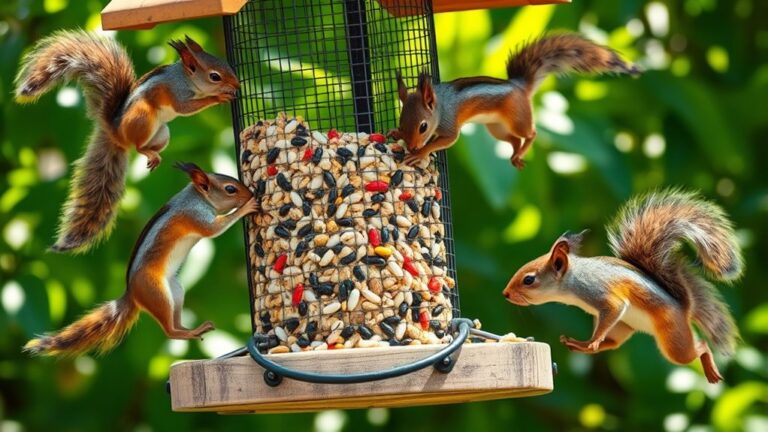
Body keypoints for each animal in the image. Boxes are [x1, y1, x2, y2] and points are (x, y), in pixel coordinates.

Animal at [14, 30, 240, 253]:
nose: (237, 84)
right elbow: (185, 107)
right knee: (137, 146)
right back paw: (146, 152)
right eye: (215, 76)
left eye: (224, 64)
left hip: (162, 133)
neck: (186, 78)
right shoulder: (178, 93)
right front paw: (218, 97)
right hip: (143, 118)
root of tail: (116, 133)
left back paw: (155, 156)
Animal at [23, 162, 259, 356]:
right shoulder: (196, 216)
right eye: (230, 189)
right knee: (169, 331)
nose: (250, 194)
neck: (197, 197)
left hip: (175, 290)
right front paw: (246, 207)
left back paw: (190, 328)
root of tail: (132, 294)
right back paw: (189, 332)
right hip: (156, 292)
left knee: (174, 321)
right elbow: (214, 229)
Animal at [393, 33, 639, 168]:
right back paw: (515, 155)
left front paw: (421, 153)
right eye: (401, 122)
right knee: (513, 140)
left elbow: (448, 139)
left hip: (518, 119)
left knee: (530, 134)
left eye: (423, 126)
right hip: (496, 128)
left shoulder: (449, 123)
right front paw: (397, 136)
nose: (411, 146)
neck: (440, 106)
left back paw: (522, 150)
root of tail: (521, 86)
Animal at [503, 189, 743, 383]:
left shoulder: (601, 294)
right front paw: (591, 341)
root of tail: (684, 308)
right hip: (622, 326)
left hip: (674, 341)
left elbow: (614, 306)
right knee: (612, 343)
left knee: (700, 346)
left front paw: (594, 339)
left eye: (529, 280)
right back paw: (580, 344)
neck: (572, 281)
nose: (505, 294)